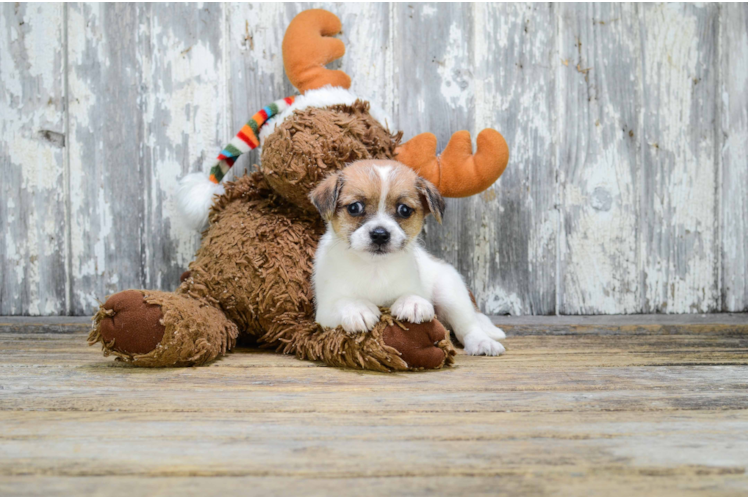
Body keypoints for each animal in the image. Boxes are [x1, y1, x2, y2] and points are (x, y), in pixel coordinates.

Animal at [306, 160, 506, 356]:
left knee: (468, 327)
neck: (374, 268)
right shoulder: (324, 312)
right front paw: (357, 308)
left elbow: (412, 294)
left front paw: (412, 302)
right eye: (355, 208)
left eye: (404, 210)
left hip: (451, 295)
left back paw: (482, 343)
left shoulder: (415, 286)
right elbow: (343, 302)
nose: (380, 234)